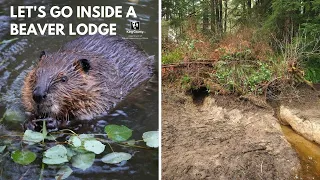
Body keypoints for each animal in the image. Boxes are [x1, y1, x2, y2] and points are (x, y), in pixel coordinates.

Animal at [21, 34, 154, 131]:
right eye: (36, 74)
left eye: (64, 79)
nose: (38, 95)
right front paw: (30, 121)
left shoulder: (103, 94)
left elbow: (87, 115)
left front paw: (52, 122)